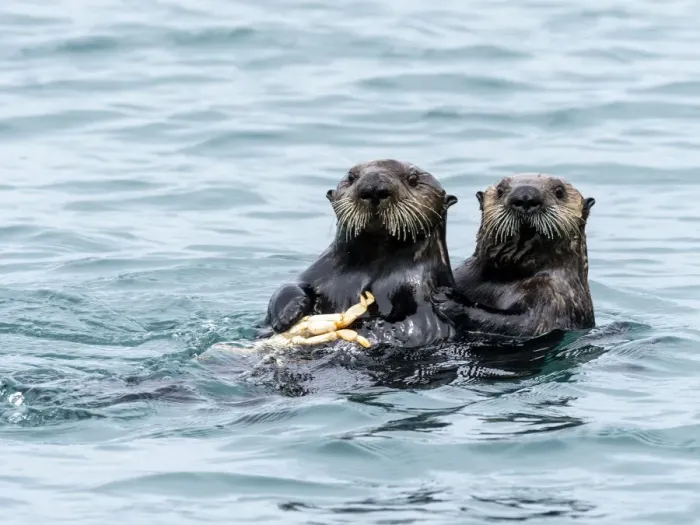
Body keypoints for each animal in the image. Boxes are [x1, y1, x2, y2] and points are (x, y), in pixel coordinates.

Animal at [264, 159, 458, 349]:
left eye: (413, 179)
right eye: (351, 177)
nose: (374, 188)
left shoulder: (421, 290)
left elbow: (417, 326)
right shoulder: (320, 271)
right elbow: (289, 286)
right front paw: (288, 314)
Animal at [431, 173, 596, 338]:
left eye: (559, 191)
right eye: (500, 190)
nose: (525, 196)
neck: (506, 277)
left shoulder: (557, 299)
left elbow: (524, 324)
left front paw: (447, 298)